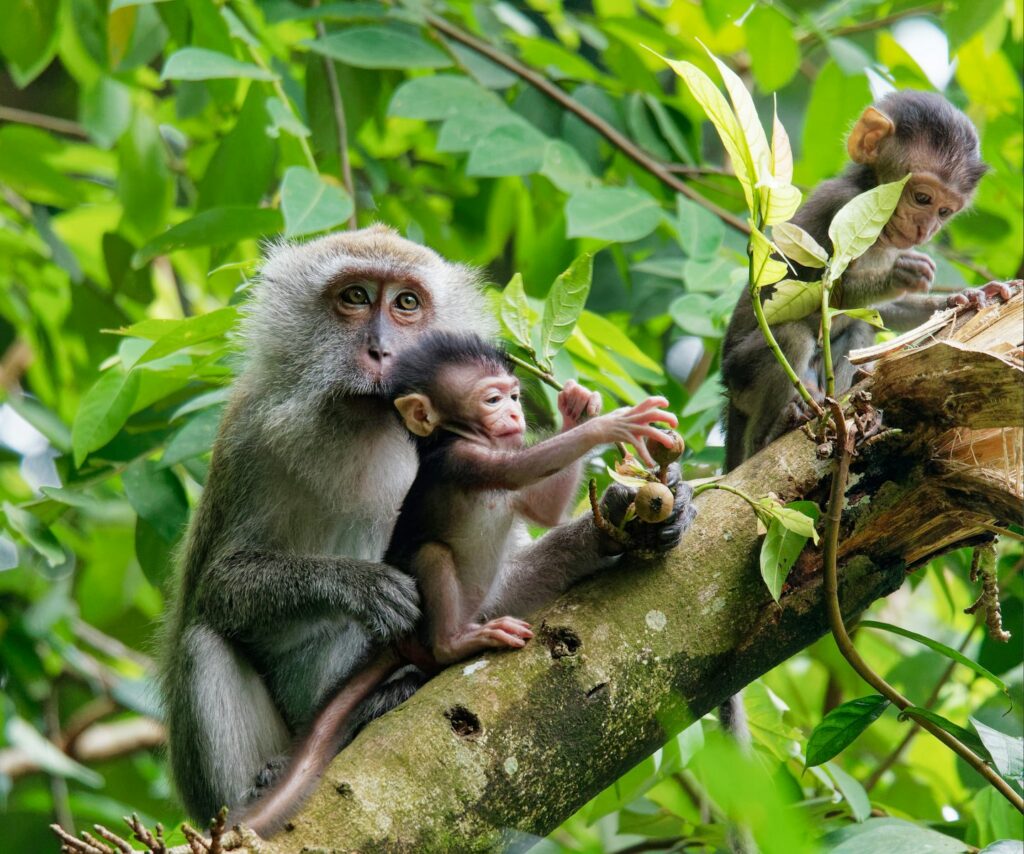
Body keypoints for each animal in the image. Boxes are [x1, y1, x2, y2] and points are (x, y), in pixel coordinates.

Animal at [160, 225, 696, 827]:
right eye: (355, 297)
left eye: (406, 303)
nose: (381, 350)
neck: (368, 424)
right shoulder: (248, 437)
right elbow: (217, 586)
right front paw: (362, 585)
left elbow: (498, 586)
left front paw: (628, 513)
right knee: (202, 639)